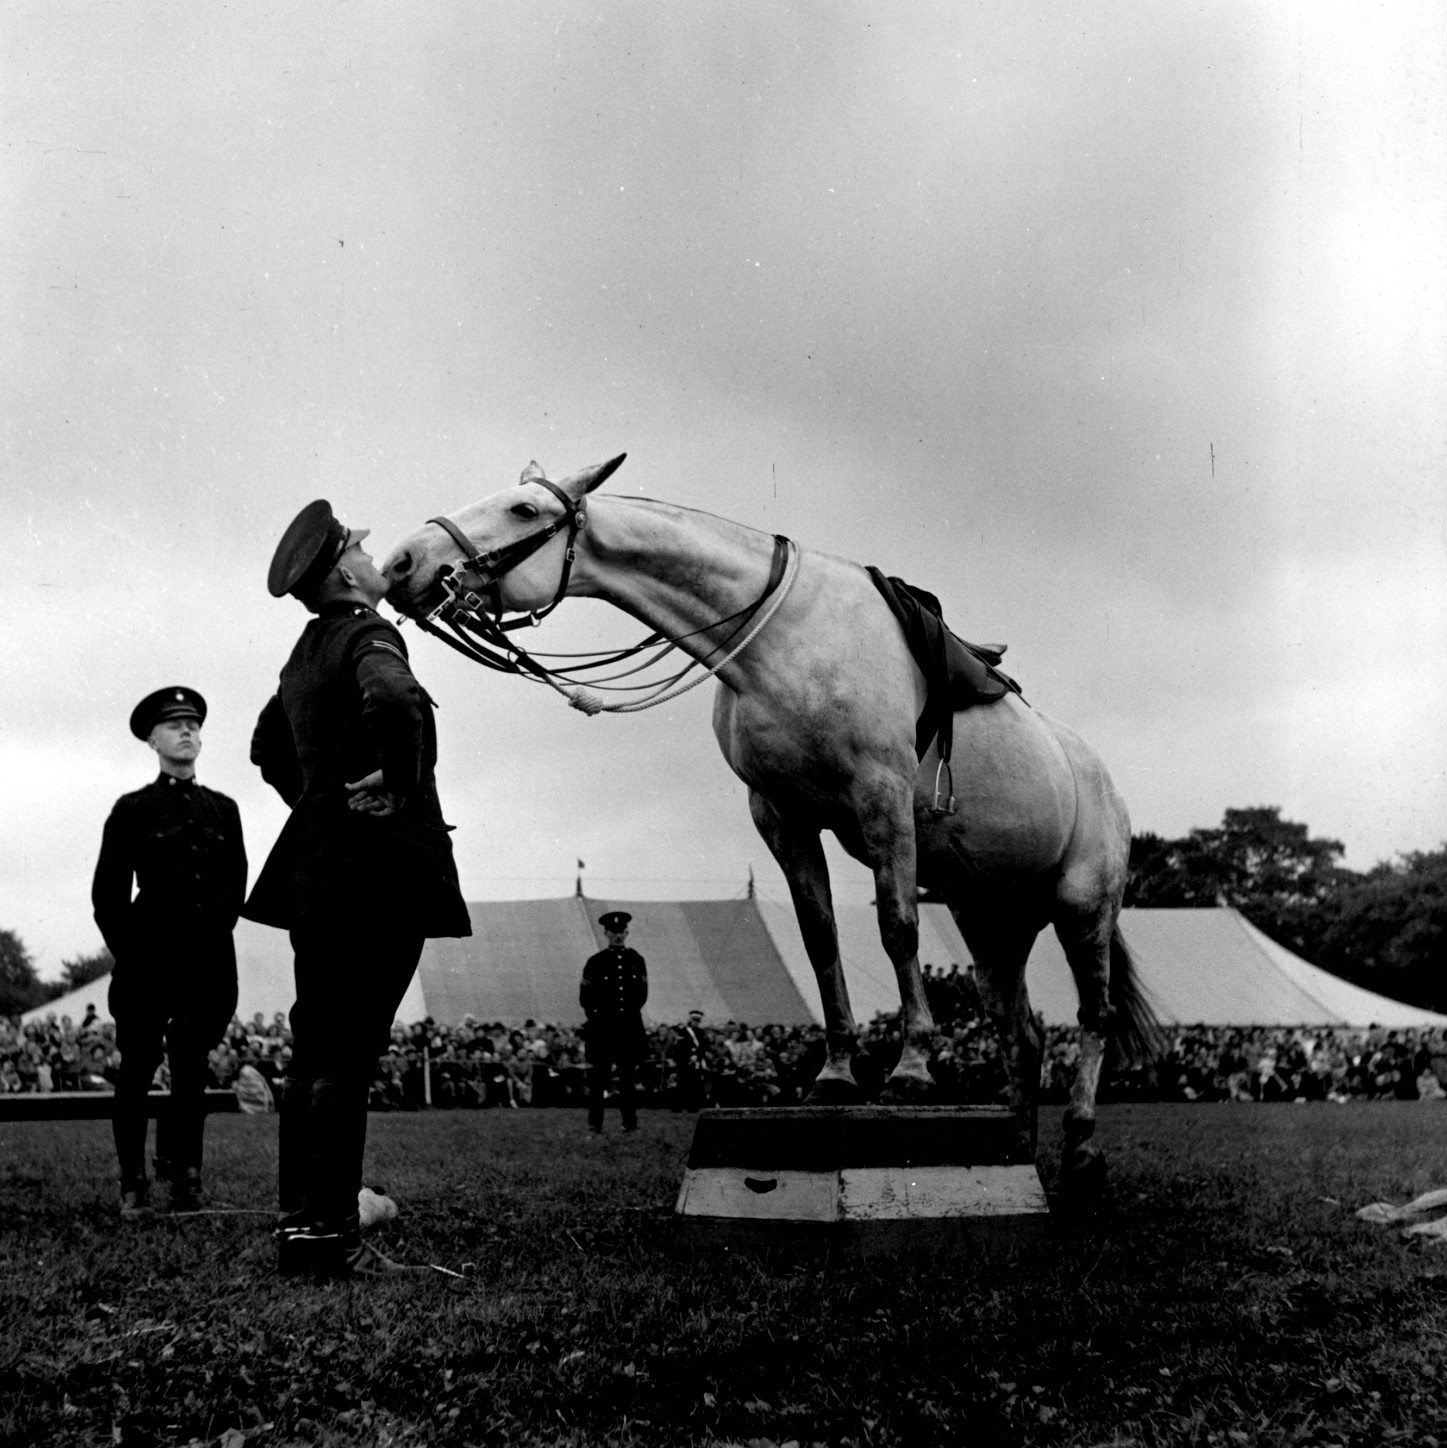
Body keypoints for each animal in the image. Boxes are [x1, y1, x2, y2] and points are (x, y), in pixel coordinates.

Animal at [381, 455, 1160, 1188]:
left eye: (523, 509)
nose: (402, 562)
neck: (783, 641)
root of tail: (1103, 783)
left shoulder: (882, 799)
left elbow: (897, 929)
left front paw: (909, 1069)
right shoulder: (781, 817)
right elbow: (819, 939)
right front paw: (836, 1075)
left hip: (1082, 908)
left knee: (1093, 1018)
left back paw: (1081, 1148)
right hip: (990, 919)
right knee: (1021, 1035)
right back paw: (1017, 1145)